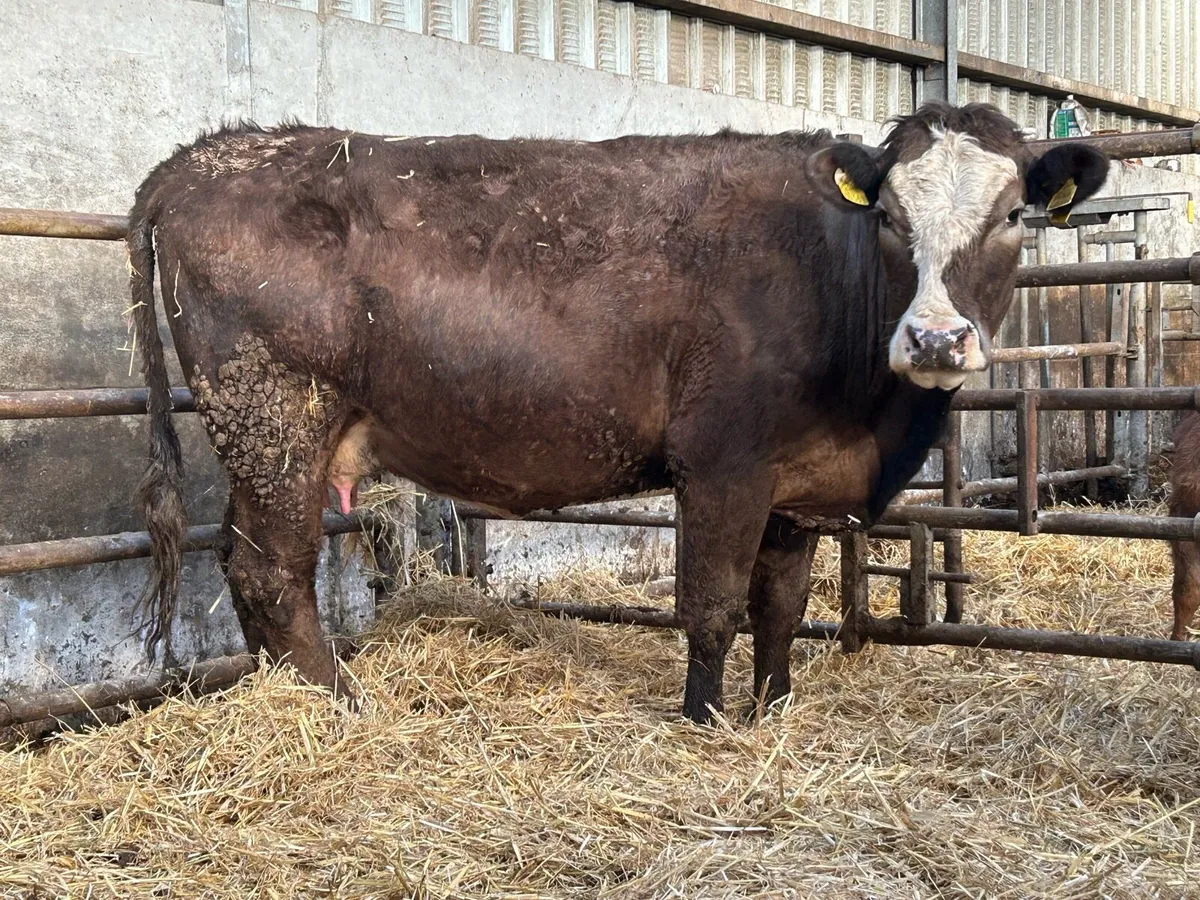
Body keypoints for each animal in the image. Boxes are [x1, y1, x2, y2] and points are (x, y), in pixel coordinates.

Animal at [126, 102, 1107, 722]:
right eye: (895, 220)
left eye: (1014, 215)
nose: (937, 340)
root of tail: (210, 155)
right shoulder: (721, 464)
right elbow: (711, 603)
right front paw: (706, 718)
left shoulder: (794, 485)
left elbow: (781, 605)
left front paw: (775, 706)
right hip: (274, 417)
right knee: (272, 571)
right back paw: (338, 702)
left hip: (265, 435)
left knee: (240, 560)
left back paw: (282, 690)